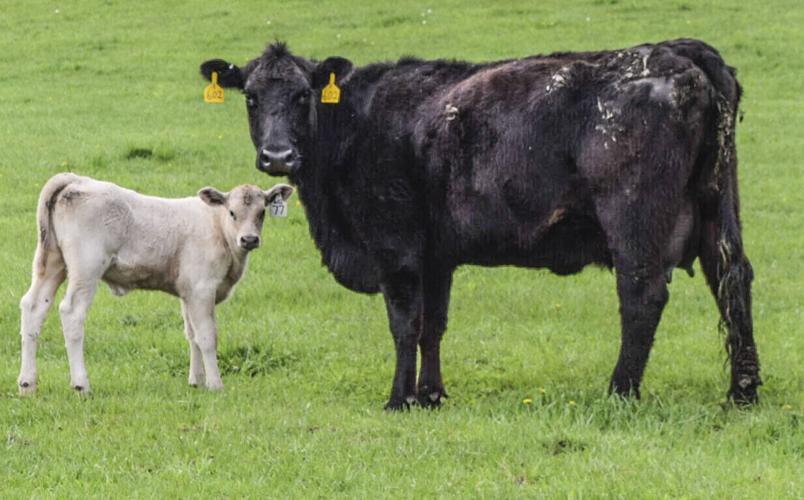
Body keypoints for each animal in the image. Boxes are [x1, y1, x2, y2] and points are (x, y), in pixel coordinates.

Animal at [17, 173, 293, 394]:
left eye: (262, 212)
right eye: (232, 212)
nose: (249, 239)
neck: (218, 228)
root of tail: (76, 179)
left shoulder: (188, 292)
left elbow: (191, 335)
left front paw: (196, 381)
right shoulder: (202, 289)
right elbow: (207, 337)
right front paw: (215, 384)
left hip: (51, 262)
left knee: (33, 307)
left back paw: (27, 384)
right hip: (86, 268)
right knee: (72, 313)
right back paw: (81, 385)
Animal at [200, 39, 760, 409]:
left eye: (303, 96)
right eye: (251, 96)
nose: (277, 155)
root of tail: (677, 51)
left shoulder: (395, 248)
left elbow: (405, 323)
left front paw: (399, 399)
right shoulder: (436, 256)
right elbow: (434, 324)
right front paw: (431, 394)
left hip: (635, 221)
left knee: (642, 296)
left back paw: (620, 391)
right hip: (718, 209)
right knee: (732, 280)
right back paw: (743, 390)